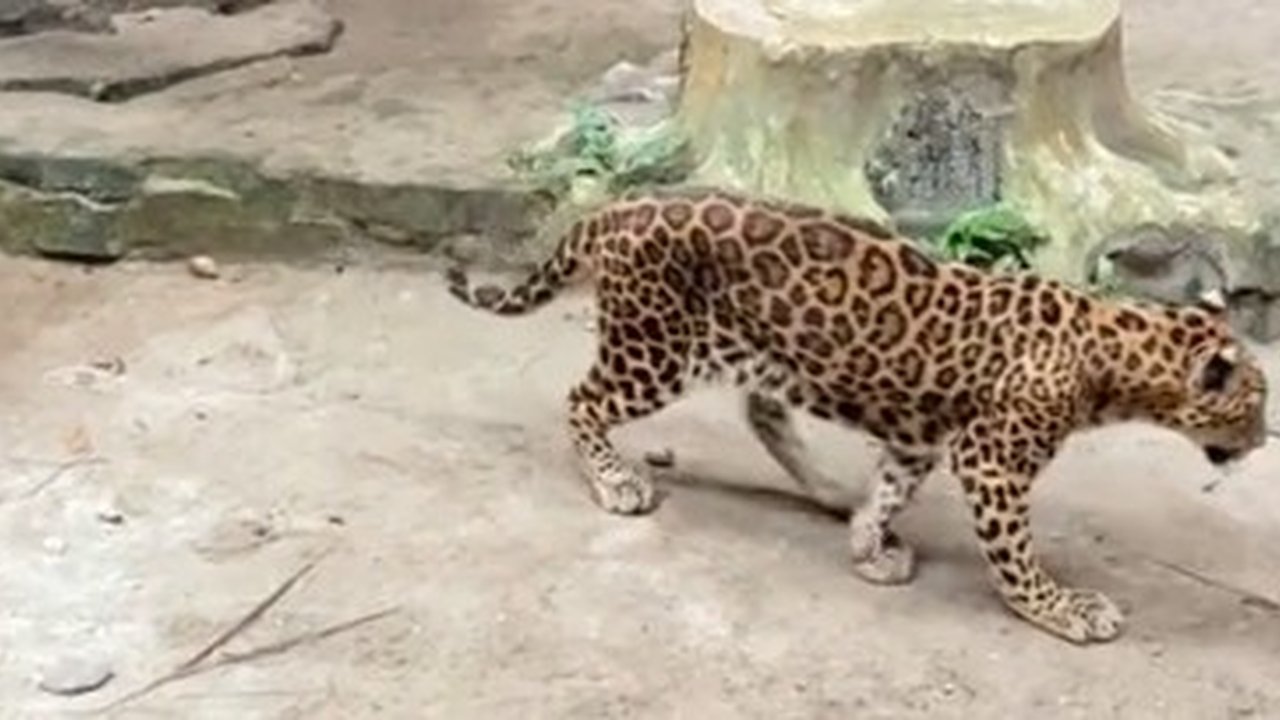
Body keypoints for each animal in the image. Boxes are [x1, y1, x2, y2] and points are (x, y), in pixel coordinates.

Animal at [446, 186, 1269, 645]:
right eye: (1255, 402)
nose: (1264, 440)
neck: (1120, 355)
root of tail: (612, 211)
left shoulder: (921, 440)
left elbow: (891, 489)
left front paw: (870, 544)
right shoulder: (993, 462)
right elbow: (1016, 557)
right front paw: (1062, 611)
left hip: (755, 349)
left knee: (762, 410)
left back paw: (831, 493)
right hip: (658, 349)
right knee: (583, 401)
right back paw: (616, 483)